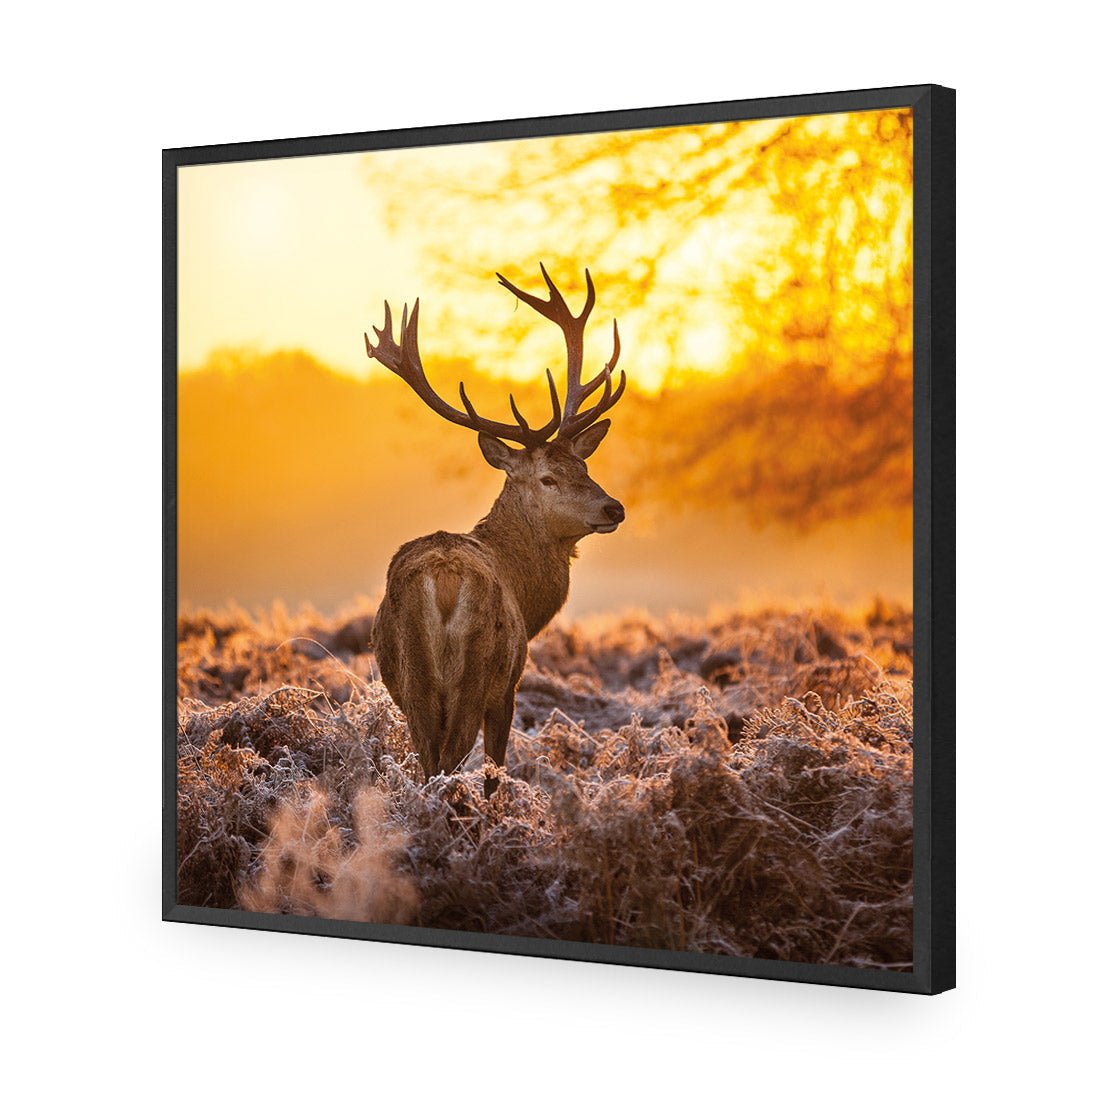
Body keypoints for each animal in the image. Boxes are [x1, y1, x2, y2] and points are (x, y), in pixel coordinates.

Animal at [365, 265, 626, 794]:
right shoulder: (508, 686)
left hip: (413, 680)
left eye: (584, 467)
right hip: (477, 673)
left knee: (427, 762)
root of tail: (443, 581)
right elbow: (495, 770)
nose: (614, 508)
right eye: (547, 478)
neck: (526, 594)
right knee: (449, 762)